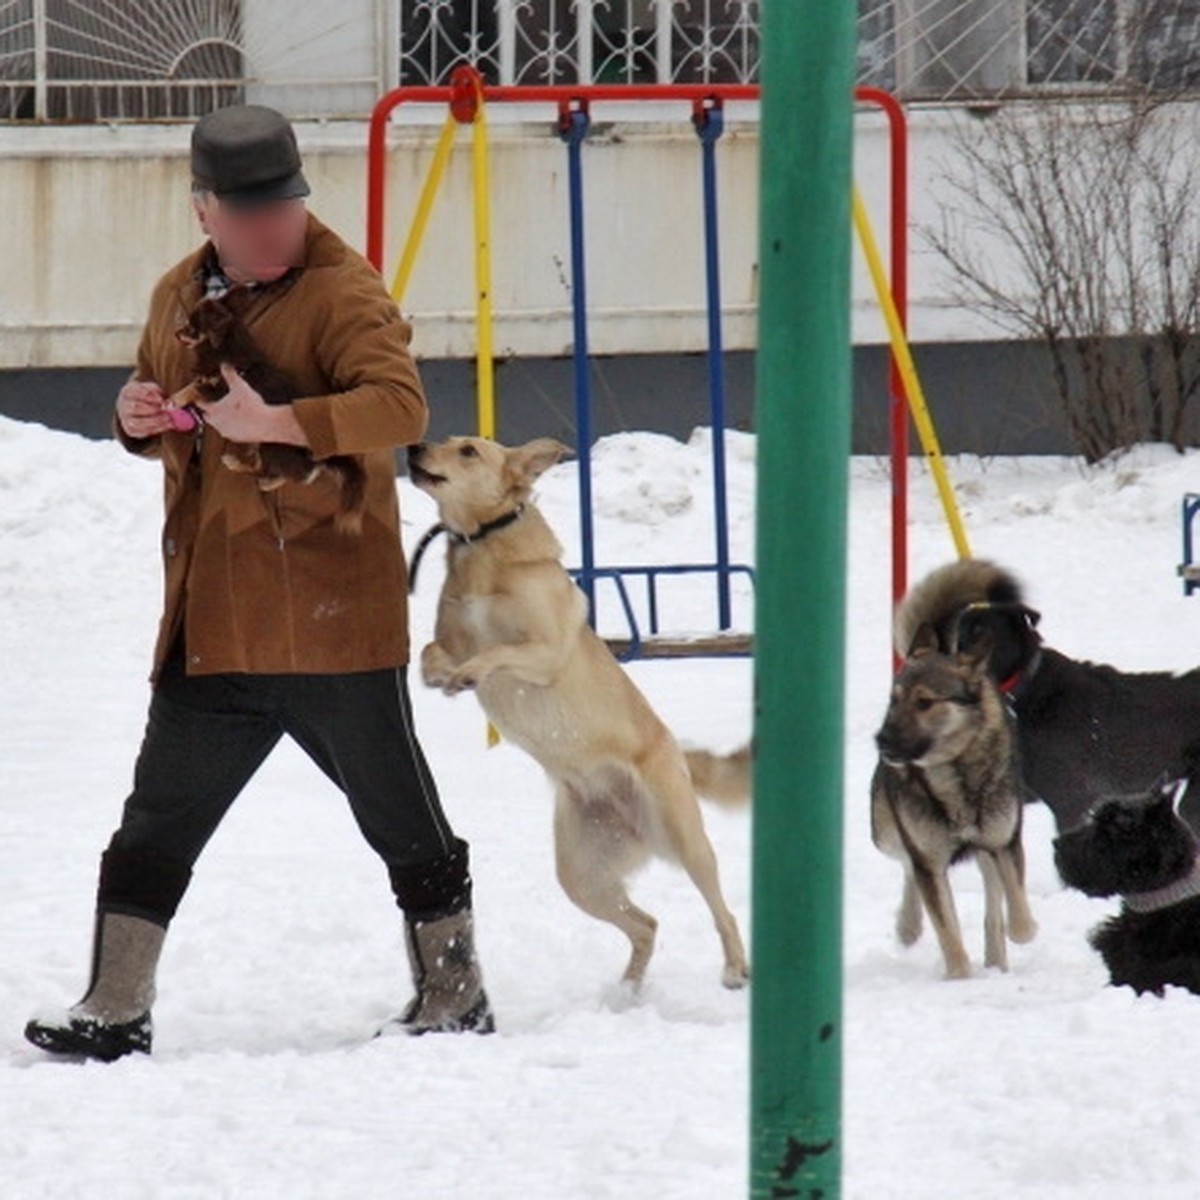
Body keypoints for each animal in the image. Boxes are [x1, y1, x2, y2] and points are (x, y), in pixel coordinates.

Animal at [175, 290, 364, 535]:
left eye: (191, 326)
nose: (176, 332)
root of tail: (317, 460)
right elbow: (195, 383)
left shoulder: (222, 393)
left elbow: (194, 387)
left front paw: (175, 399)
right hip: (259, 444)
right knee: (270, 469)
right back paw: (239, 463)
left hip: (269, 444)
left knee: (287, 474)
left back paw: (257, 475)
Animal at [412, 436, 748, 988]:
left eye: (467, 450)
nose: (416, 447)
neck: (482, 545)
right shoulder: (449, 635)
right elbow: (430, 653)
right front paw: (444, 677)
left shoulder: (544, 651)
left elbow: (497, 651)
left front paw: (469, 674)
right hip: (580, 875)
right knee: (646, 925)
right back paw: (628, 991)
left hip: (683, 838)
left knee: (722, 909)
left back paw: (735, 967)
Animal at [868, 633, 1036, 979]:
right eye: (894, 700)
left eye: (924, 702)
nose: (882, 740)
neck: (955, 775)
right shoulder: (928, 859)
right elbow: (947, 929)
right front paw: (959, 976)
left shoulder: (1002, 839)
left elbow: (1019, 919)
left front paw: (1016, 932)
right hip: (885, 833)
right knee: (907, 865)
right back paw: (908, 926)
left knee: (993, 899)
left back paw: (996, 959)